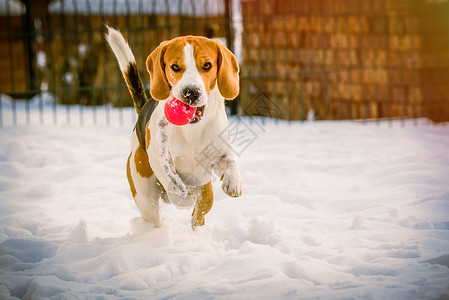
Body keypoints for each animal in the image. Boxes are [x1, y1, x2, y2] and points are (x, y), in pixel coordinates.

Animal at [106, 27, 242, 230]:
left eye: (207, 65)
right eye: (175, 67)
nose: (191, 93)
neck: (192, 129)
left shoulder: (218, 153)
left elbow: (230, 160)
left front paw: (233, 181)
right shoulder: (159, 158)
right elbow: (171, 179)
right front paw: (181, 197)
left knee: (204, 203)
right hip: (144, 194)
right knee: (154, 213)